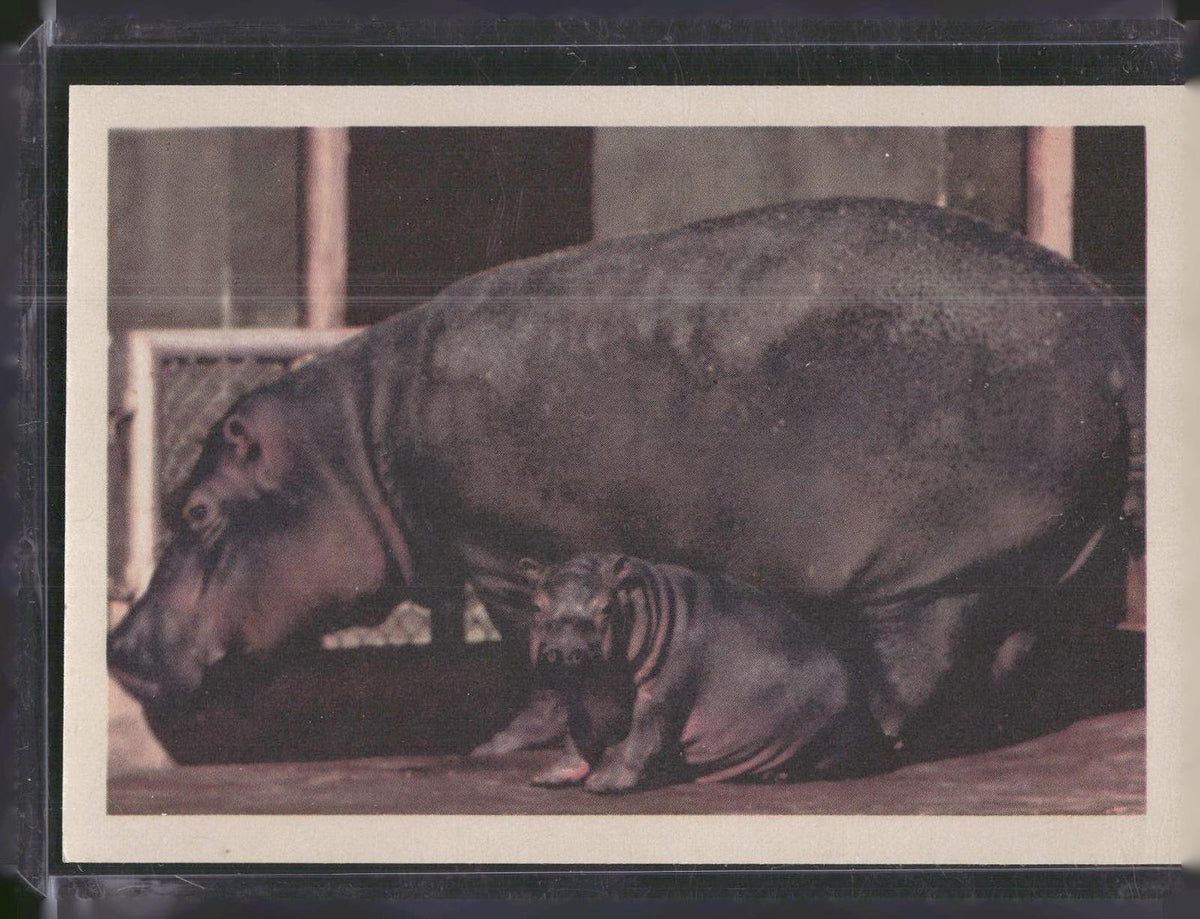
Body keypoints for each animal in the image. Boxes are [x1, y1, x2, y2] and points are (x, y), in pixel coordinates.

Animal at [107, 197, 1144, 756]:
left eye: (194, 510)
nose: (115, 643)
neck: (353, 443)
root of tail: (1106, 318)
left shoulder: (503, 553)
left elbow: (529, 655)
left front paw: (495, 746)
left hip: (930, 571)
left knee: (911, 668)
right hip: (1055, 553)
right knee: (1017, 654)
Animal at [523, 554, 887, 793]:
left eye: (607, 607)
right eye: (536, 605)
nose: (565, 650)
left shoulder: (661, 691)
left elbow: (642, 735)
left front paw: (603, 783)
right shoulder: (583, 694)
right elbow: (577, 734)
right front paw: (548, 777)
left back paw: (774, 777)